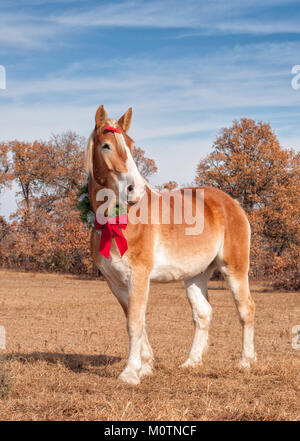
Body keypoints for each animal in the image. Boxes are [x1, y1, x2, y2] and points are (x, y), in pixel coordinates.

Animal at [86, 105, 255, 384]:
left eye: (131, 144)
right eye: (106, 145)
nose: (135, 190)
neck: (118, 221)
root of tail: (232, 203)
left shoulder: (139, 276)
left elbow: (134, 323)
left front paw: (130, 373)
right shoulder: (116, 282)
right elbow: (136, 319)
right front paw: (145, 366)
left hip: (235, 269)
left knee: (246, 309)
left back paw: (246, 362)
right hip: (196, 275)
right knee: (203, 314)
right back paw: (191, 363)